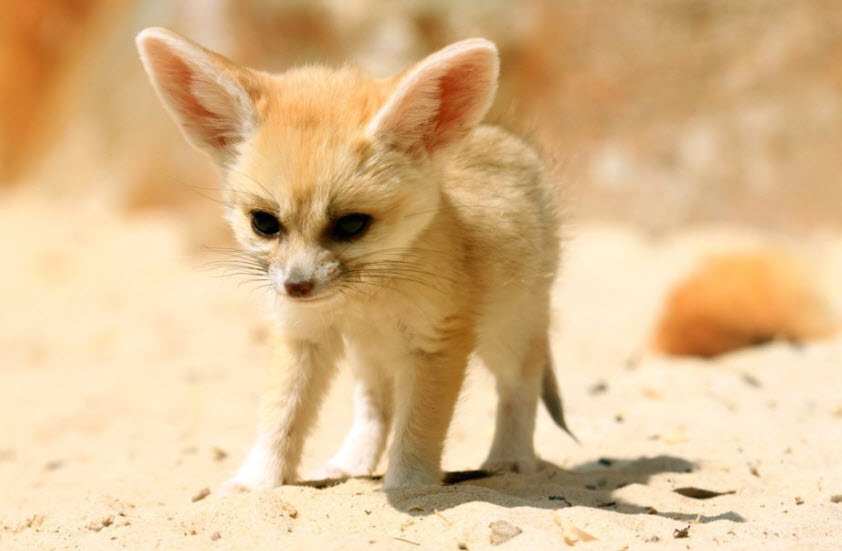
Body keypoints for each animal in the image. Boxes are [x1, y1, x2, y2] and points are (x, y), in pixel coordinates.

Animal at [135, 27, 571, 491]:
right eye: (264, 223)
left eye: (351, 224)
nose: (297, 286)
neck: (362, 302)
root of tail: (502, 138)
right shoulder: (302, 334)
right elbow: (280, 417)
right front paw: (256, 482)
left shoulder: (436, 344)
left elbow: (418, 429)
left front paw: (410, 487)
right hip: (370, 355)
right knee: (374, 406)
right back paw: (350, 466)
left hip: (507, 333)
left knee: (519, 386)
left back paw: (511, 459)